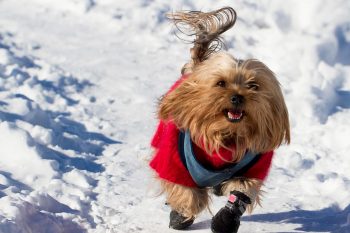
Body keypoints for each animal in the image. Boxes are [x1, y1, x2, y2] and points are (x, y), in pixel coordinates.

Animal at [149, 7, 288, 233]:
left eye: (253, 85)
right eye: (221, 83)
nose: (237, 97)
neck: (225, 133)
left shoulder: (253, 166)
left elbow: (242, 188)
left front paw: (226, 220)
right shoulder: (173, 160)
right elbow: (187, 192)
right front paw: (182, 213)